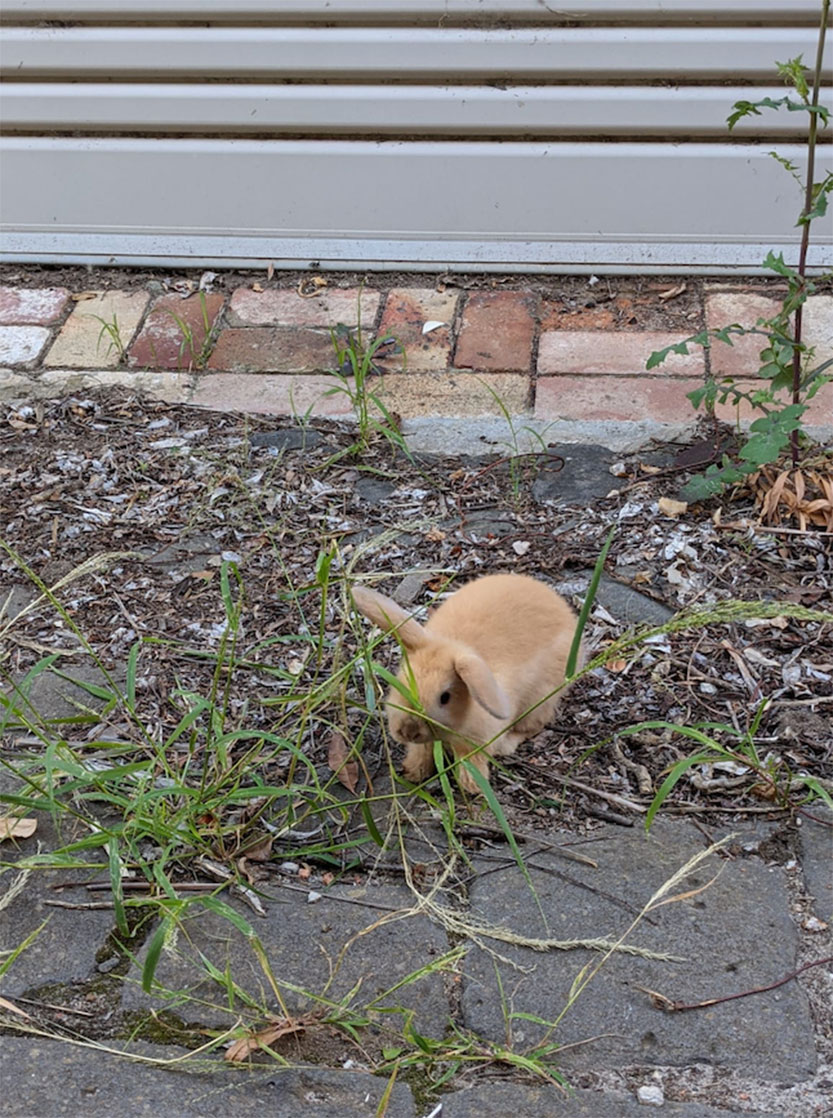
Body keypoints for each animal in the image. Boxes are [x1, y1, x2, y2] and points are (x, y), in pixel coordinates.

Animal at [353, 573, 579, 793]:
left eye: (445, 697)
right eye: (401, 683)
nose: (408, 731)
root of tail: (560, 605)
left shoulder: (476, 741)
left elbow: (470, 761)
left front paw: (473, 786)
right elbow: (422, 751)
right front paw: (413, 772)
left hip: (540, 698)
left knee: (534, 725)